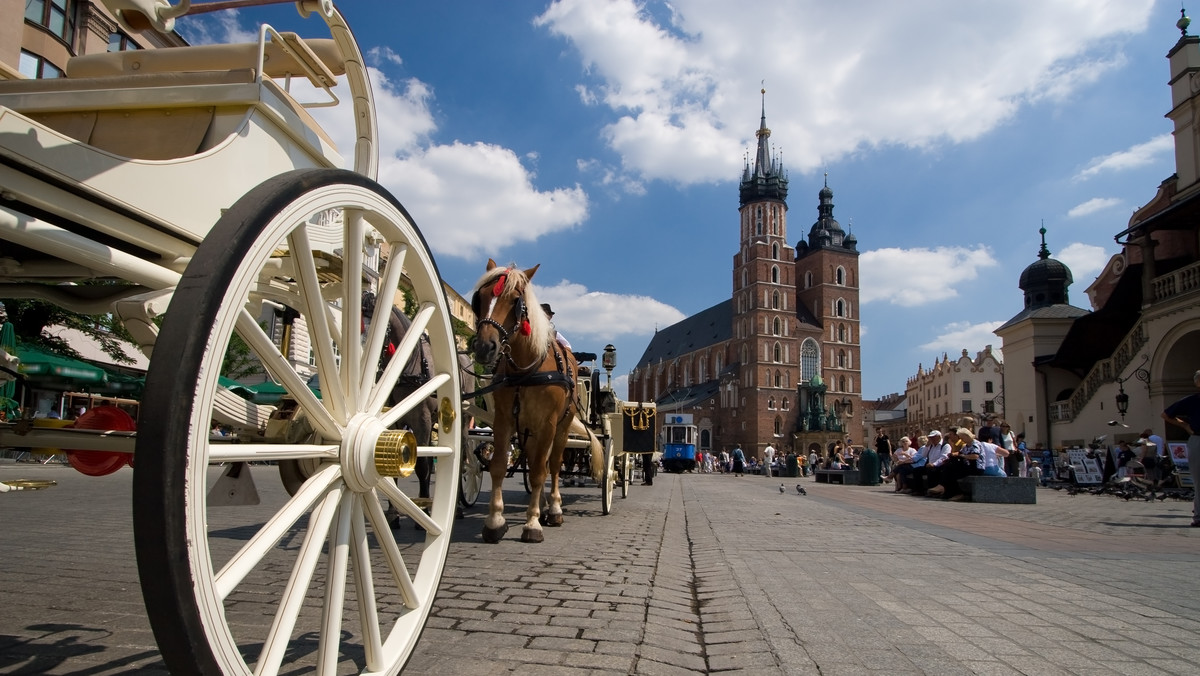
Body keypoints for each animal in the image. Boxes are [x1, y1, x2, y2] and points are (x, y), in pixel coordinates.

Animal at [468, 259, 600, 545]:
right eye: (479, 298)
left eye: (516, 300)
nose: (484, 347)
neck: (525, 369)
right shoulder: (503, 420)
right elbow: (498, 467)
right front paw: (495, 521)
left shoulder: (548, 424)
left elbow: (542, 471)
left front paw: (532, 524)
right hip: (528, 430)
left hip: (561, 428)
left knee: (554, 466)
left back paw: (554, 509)